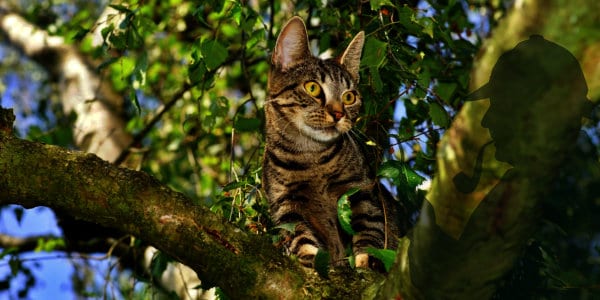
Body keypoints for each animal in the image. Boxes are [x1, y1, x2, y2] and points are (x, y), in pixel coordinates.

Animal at [262, 17, 404, 270]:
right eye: (312, 87)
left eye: (349, 97)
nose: (338, 114)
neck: (311, 157)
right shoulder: (286, 204)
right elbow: (299, 235)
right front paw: (310, 255)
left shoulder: (361, 189)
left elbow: (369, 229)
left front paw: (366, 259)